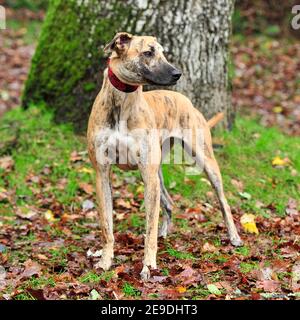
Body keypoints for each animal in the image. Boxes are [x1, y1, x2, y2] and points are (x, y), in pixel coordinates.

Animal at [87, 31, 244, 278]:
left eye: (163, 52)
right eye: (148, 52)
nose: (177, 73)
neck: (123, 101)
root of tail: (186, 100)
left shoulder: (147, 175)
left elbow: (149, 228)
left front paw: (148, 265)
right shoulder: (102, 174)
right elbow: (106, 226)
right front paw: (105, 261)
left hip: (203, 161)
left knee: (223, 201)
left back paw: (234, 236)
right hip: (157, 175)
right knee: (169, 203)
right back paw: (164, 233)